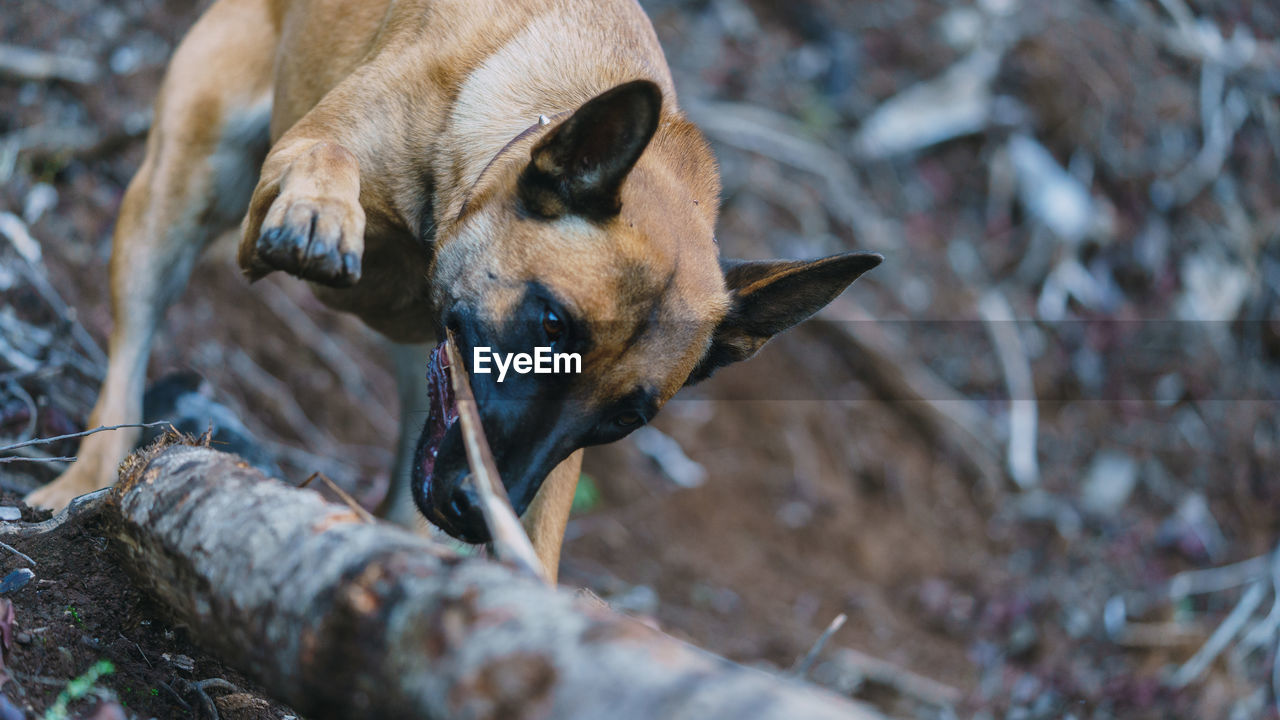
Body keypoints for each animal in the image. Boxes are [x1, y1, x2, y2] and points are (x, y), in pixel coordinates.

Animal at [32, 0, 890, 576]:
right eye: (551, 325)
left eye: (627, 418)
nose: (479, 513)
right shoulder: (290, 167)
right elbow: (325, 158)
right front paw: (323, 209)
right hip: (177, 194)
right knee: (127, 359)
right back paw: (79, 482)